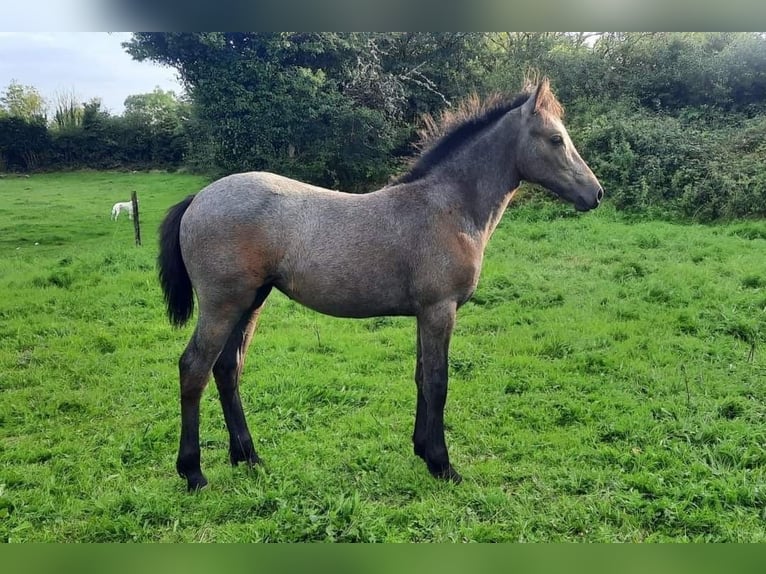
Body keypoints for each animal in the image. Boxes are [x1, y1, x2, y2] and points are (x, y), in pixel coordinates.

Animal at [160, 76, 608, 492]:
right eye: (556, 139)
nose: (597, 193)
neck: (448, 208)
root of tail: (199, 197)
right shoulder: (440, 309)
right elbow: (438, 382)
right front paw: (443, 465)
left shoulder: (424, 313)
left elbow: (421, 376)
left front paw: (422, 450)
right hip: (222, 304)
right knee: (194, 368)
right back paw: (193, 472)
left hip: (251, 302)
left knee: (227, 368)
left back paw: (248, 456)